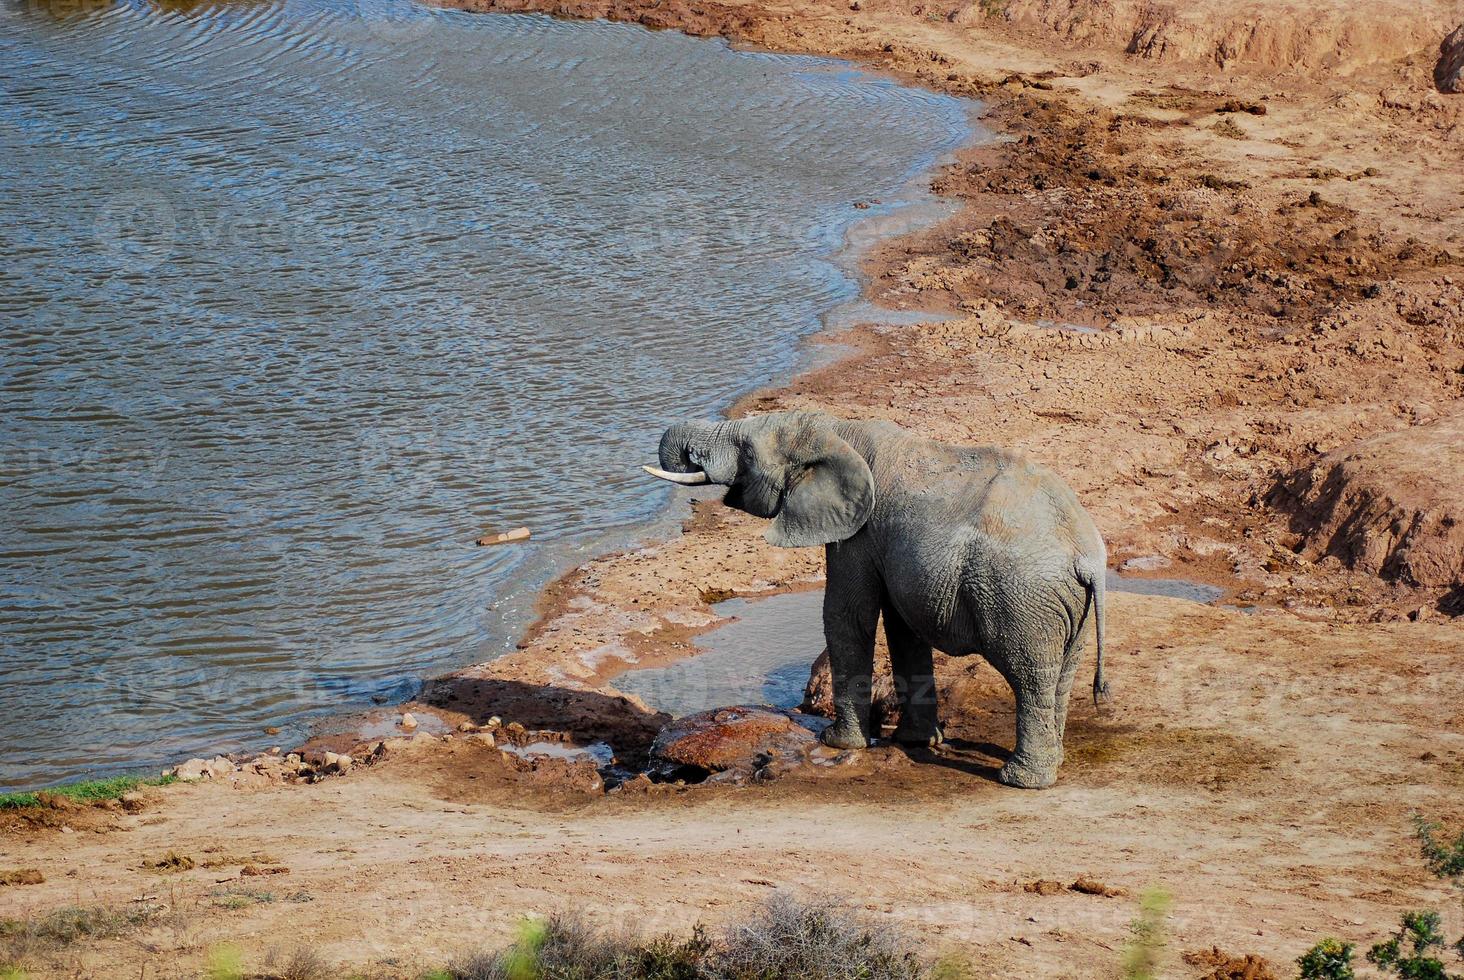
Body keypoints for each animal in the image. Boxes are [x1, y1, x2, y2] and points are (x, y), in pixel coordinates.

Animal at [644, 410, 1106, 785]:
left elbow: (847, 615)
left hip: (1021, 599)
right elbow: (902, 626)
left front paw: (837, 742)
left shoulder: (859, 533)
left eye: (746, 451)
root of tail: (1085, 556)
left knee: (1029, 677)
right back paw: (1051, 763)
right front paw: (915, 741)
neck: (835, 430)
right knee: (1061, 674)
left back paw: (1021, 780)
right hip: (1067, 609)